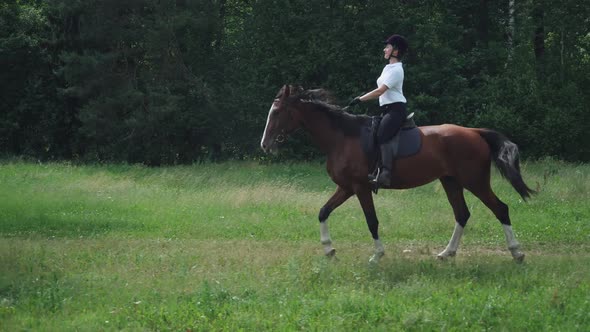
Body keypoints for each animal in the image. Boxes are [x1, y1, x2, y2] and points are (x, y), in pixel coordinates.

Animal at [260, 85, 536, 262]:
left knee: (500, 209)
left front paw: (377, 255)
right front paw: (328, 250)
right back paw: (447, 253)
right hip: (451, 181)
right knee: (462, 214)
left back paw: (517, 253)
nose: (265, 144)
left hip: (474, 181)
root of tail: (475, 132)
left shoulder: (360, 187)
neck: (342, 137)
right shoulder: (346, 188)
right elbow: (323, 212)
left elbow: (372, 220)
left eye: (277, 112)